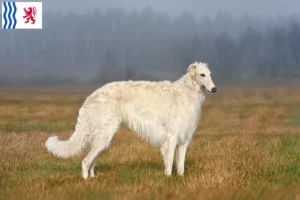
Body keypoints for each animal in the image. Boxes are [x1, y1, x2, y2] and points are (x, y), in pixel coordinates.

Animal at [45, 61, 217, 179]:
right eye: (202, 75)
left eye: (210, 74)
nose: (214, 89)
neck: (187, 91)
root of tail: (92, 96)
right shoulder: (171, 138)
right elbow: (169, 163)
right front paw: (168, 178)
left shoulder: (184, 140)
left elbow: (180, 164)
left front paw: (180, 178)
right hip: (104, 136)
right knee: (85, 161)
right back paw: (86, 181)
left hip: (104, 140)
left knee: (91, 162)